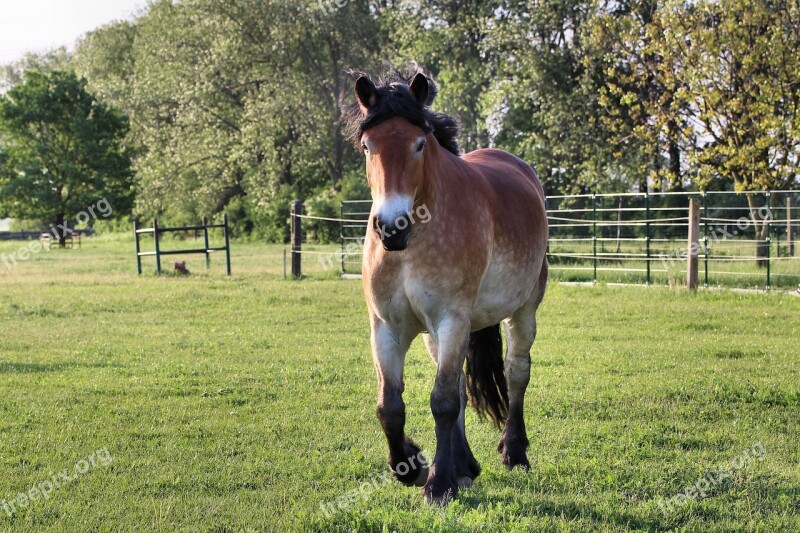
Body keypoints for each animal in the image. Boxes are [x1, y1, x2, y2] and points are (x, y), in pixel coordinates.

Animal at [344, 70, 552, 502]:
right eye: (368, 146)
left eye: (419, 144)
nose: (391, 227)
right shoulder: (387, 327)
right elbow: (390, 407)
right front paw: (412, 466)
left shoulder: (451, 318)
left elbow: (441, 401)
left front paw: (438, 484)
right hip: (437, 334)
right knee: (457, 383)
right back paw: (464, 465)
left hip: (523, 310)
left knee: (516, 372)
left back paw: (514, 453)